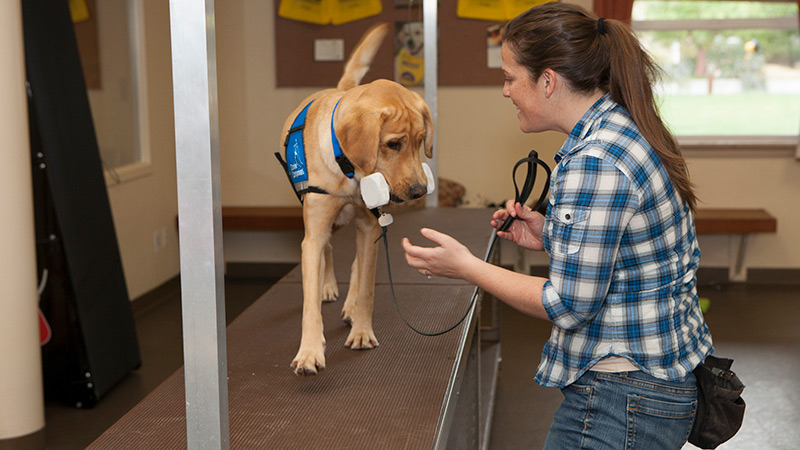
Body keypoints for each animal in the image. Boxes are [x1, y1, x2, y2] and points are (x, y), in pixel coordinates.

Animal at [280, 24, 434, 376]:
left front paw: (362, 330)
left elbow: (365, 288)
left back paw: (350, 305)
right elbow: (310, 301)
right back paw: (327, 286)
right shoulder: (315, 232)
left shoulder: (369, 225)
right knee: (327, 250)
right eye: (393, 144)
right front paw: (309, 351)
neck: (348, 170)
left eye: (420, 141)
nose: (420, 191)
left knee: (357, 265)